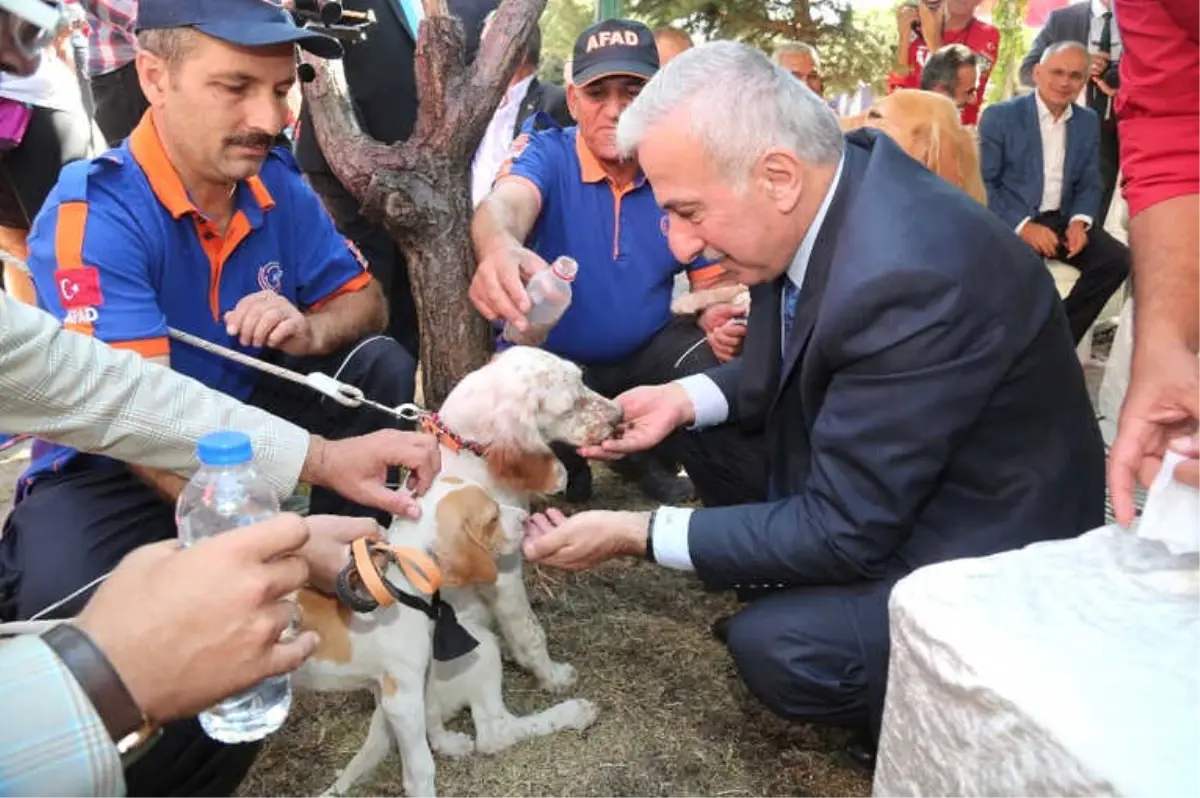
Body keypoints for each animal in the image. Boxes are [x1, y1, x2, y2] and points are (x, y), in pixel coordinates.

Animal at [294, 348, 624, 796]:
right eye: (570, 403)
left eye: (583, 380)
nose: (620, 417)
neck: (467, 456)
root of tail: (382, 705)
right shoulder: (505, 575)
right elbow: (531, 632)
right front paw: (552, 676)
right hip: (478, 650)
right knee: (494, 732)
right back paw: (570, 713)